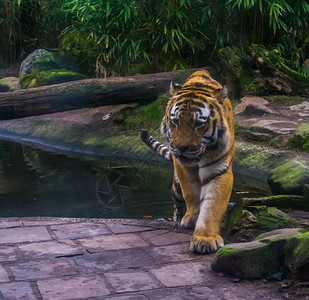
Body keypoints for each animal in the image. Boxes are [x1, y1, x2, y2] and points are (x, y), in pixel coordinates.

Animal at [140, 70, 233, 253]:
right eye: (175, 121)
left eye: (198, 124)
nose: (180, 148)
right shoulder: (183, 166)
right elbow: (191, 192)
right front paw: (193, 217)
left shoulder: (220, 169)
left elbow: (213, 204)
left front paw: (205, 239)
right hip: (176, 187)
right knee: (178, 204)